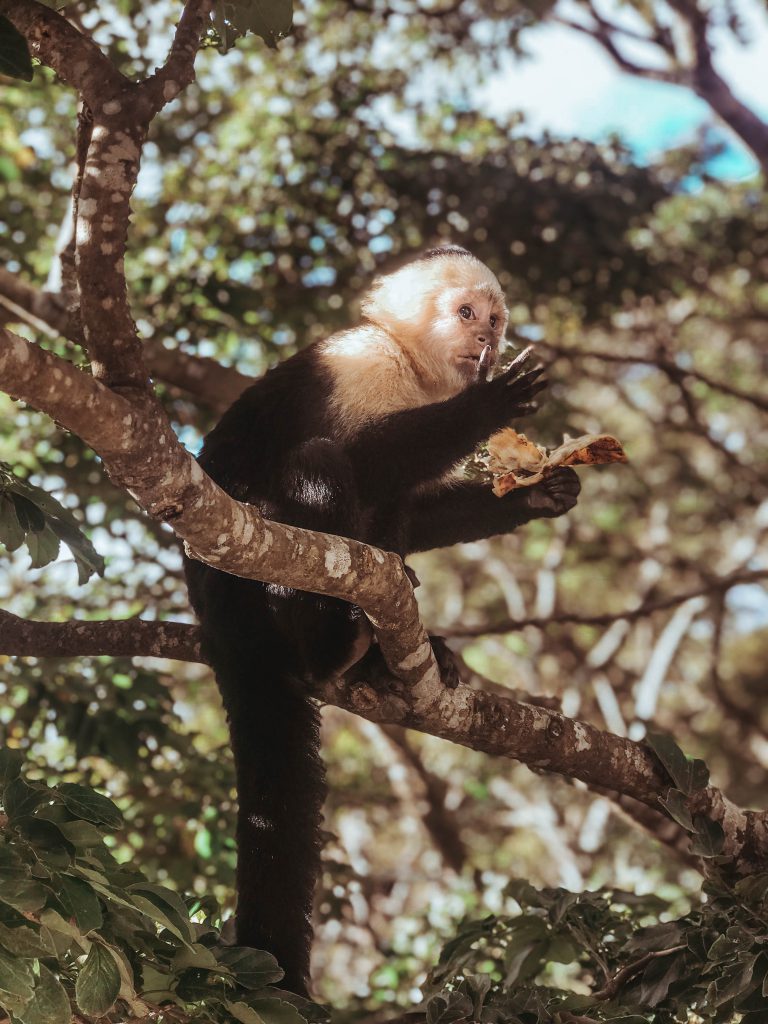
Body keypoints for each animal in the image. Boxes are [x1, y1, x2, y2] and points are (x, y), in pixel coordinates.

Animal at [185, 243, 581, 995]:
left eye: (494, 318)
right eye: (466, 313)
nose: (487, 342)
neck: (414, 370)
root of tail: (219, 626)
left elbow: (415, 507)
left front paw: (541, 491)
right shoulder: (361, 363)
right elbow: (361, 458)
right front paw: (487, 404)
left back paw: (383, 651)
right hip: (250, 595)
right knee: (317, 466)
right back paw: (332, 646)